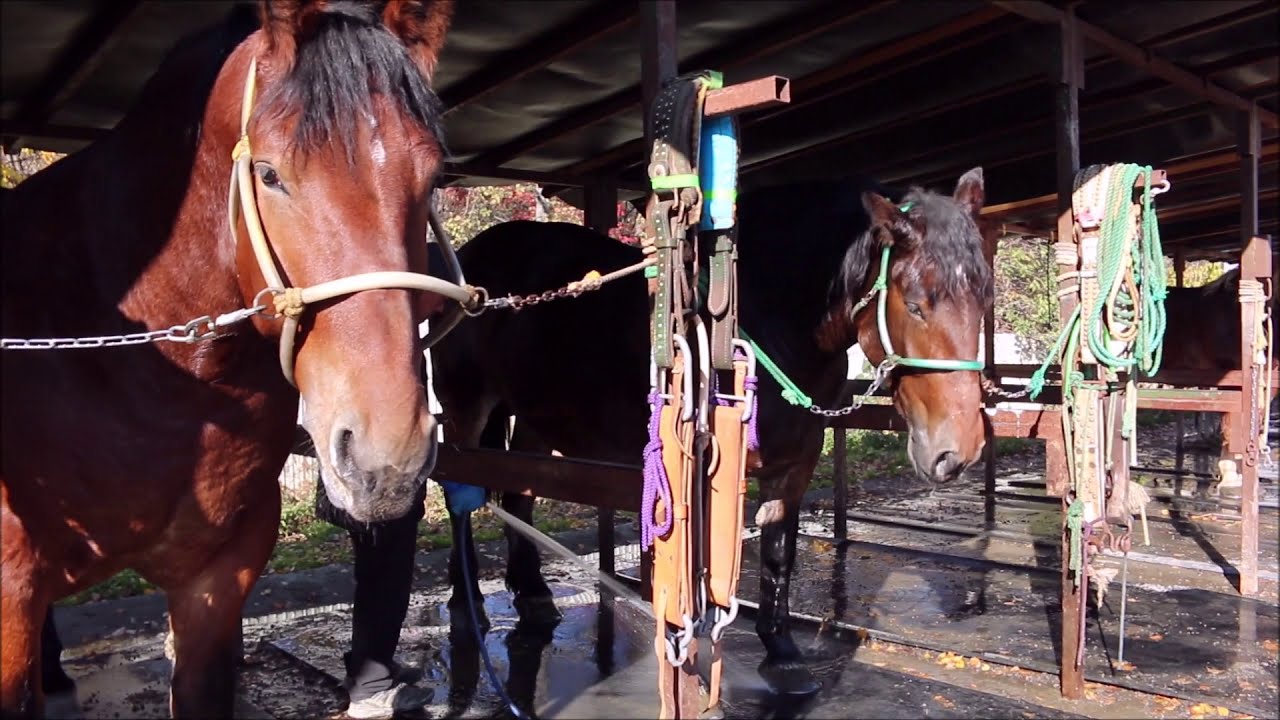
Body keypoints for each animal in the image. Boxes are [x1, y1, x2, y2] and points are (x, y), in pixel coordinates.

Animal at [429, 168, 994, 695]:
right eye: (916, 304)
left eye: (984, 298)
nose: (957, 452)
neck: (763, 315)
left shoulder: (796, 464)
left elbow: (777, 551)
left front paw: (782, 654)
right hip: (466, 410)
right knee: (463, 496)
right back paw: (466, 601)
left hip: (535, 417)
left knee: (518, 494)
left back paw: (534, 596)